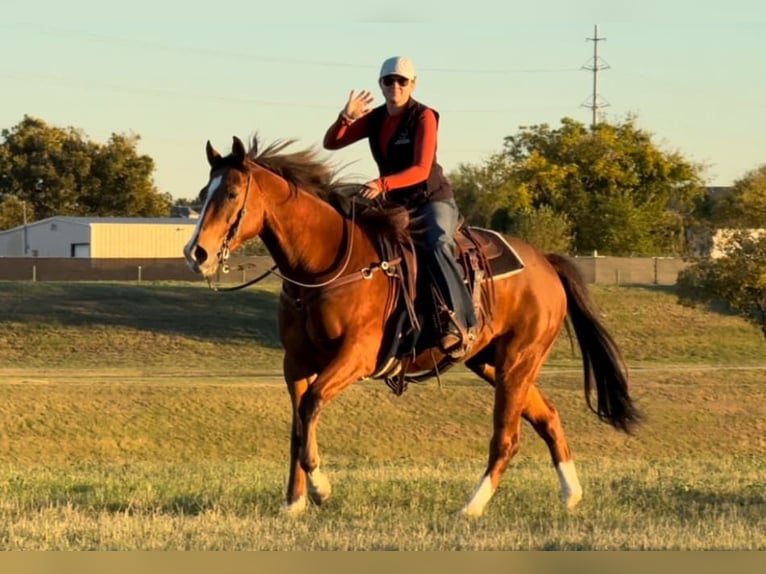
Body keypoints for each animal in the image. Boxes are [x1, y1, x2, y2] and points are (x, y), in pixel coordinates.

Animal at [184, 137, 640, 520]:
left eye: (231, 193)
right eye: (204, 194)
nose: (197, 253)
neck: (328, 263)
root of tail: (546, 262)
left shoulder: (356, 356)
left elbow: (311, 407)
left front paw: (320, 488)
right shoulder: (295, 363)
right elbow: (298, 424)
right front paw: (293, 502)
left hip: (518, 360)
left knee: (506, 437)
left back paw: (471, 507)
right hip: (491, 363)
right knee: (546, 416)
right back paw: (570, 494)